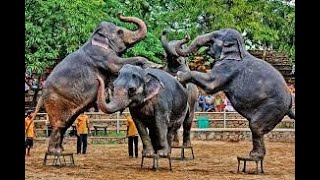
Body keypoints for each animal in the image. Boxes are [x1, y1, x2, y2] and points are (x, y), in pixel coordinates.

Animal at [31, 13, 161, 154]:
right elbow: (118, 65)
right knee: (59, 125)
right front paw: (156, 65)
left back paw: (60, 150)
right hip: (55, 102)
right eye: (120, 32)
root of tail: (42, 94)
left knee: (65, 124)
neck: (93, 37)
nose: (120, 14)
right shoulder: (101, 56)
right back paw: (56, 152)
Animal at [175, 28, 296, 159]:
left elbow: (211, 84)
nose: (186, 36)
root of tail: (290, 103)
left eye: (214, 37)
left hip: (273, 107)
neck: (240, 50)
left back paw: (254, 156)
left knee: (256, 126)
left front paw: (179, 76)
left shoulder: (228, 67)